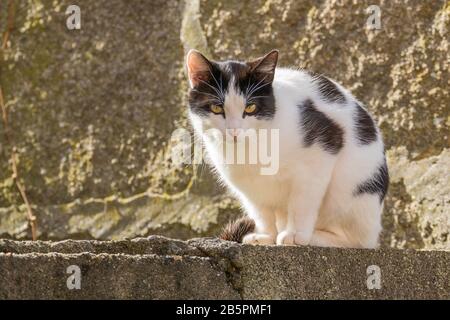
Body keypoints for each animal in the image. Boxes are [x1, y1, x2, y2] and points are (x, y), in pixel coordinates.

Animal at [185, 49, 388, 248]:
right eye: (216, 108)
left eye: (250, 108)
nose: (234, 131)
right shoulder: (250, 187)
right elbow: (261, 212)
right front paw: (265, 236)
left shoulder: (323, 146)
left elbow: (302, 202)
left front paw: (295, 235)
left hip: (350, 192)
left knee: (358, 241)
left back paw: (316, 237)